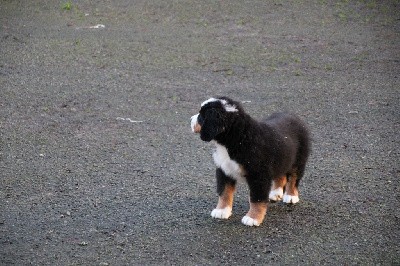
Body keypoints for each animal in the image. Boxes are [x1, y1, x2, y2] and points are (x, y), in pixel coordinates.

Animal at [191, 97, 312, 227]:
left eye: (201, 116)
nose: (190, 120)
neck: (237, 138)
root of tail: (293, 115)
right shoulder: (224, 170)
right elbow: (224, 192)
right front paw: (221, 211)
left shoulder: (258, 175)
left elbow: (256, 199)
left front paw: (252, 218)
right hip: (281, 158)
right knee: (280, 175)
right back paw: (275, 193)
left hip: (299, 160)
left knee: (294, 178)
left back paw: (290, 196)